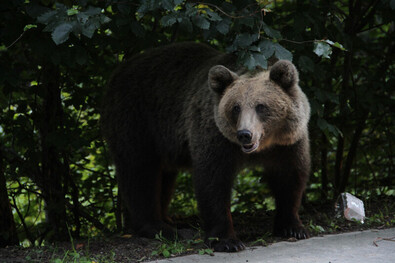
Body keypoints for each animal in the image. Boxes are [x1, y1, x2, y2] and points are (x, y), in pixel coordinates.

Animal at [102, 41, 312, 254]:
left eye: (261, 106)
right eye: (236, 107)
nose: (245, 134)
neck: (264, 144)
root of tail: (118, 72)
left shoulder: (288, 143)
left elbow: (290, 177)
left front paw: (293, 227)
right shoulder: (215, 136)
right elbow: (213, 182)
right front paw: (227, 240)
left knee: (163, 176)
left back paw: (169, 220)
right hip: (137, 119)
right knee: (140, 172)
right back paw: (160, 227)